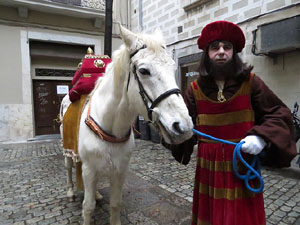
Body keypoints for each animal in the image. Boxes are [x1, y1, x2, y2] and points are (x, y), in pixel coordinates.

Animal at [60, 24, 195, 225]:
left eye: (172, 67)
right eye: (144, 71)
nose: (183, 127)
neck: (110, 127)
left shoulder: (119, 171)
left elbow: (116, 204)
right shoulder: (89, 170)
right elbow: (88, 207)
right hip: (68, 151)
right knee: (68, 168)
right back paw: (70, 191)